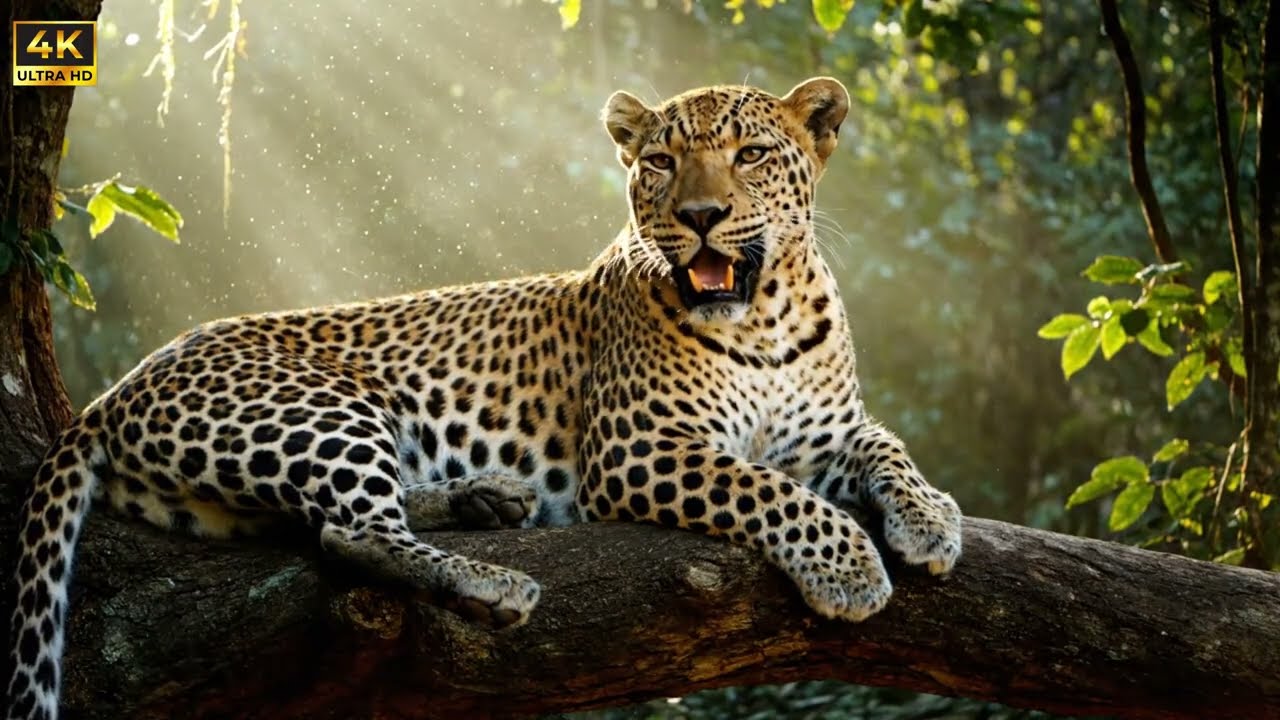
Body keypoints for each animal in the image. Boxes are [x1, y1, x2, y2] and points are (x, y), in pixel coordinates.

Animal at [4, 77, 962, 720]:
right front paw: (848, 569)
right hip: (324, 403)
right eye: (659, 162)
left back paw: (487, 500)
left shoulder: (823, 437)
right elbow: (768, 491)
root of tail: (112, 393)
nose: (698, 216)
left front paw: (930, 520)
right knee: (352, 531)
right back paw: (492, 581)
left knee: (330, 521)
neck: (764, 320)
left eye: (751, 155)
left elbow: (883, 445)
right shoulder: (641, 450)